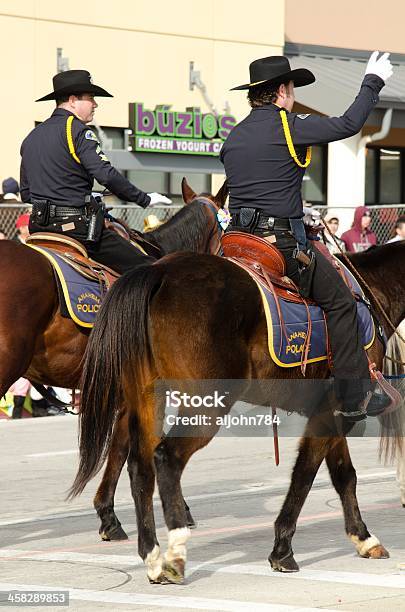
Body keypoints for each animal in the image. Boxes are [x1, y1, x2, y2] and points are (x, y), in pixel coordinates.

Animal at [70, 185, 404, 584]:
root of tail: (157, 273)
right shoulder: (331, 412)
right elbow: (306, 474)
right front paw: (282, 549)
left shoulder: (333, 411)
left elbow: (343, 475)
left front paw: (363, 538)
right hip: (206, 405)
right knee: (166, 458)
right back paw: (175, 552)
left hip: (149, 397)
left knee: (139, 465)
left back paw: (151, 555)